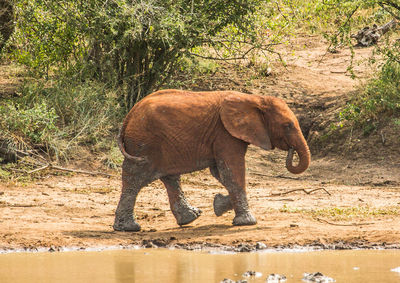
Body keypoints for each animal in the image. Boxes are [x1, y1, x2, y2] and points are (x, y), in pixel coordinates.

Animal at [114, 90, 310, 232]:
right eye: (288, 126)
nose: (291, 151)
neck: (254, 98)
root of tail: (130, 114)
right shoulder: (225, 134)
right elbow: (232, 171)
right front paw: (247, 222)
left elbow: (221, 174)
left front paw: (219, 204)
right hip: (143, 143)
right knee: (135, 178)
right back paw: (129, 228)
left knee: (170, 177)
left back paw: (190, 217)